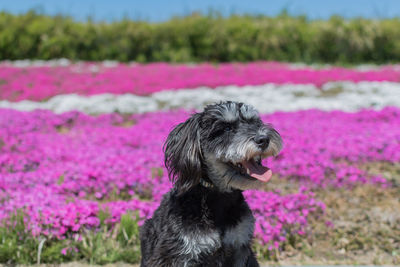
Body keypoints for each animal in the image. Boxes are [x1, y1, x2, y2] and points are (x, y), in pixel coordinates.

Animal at [139, 101, 282, 266]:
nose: (264, 139)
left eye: (254, 122)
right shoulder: (176, 253)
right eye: (226, 128)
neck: (217, 199)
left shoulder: (240, 249)